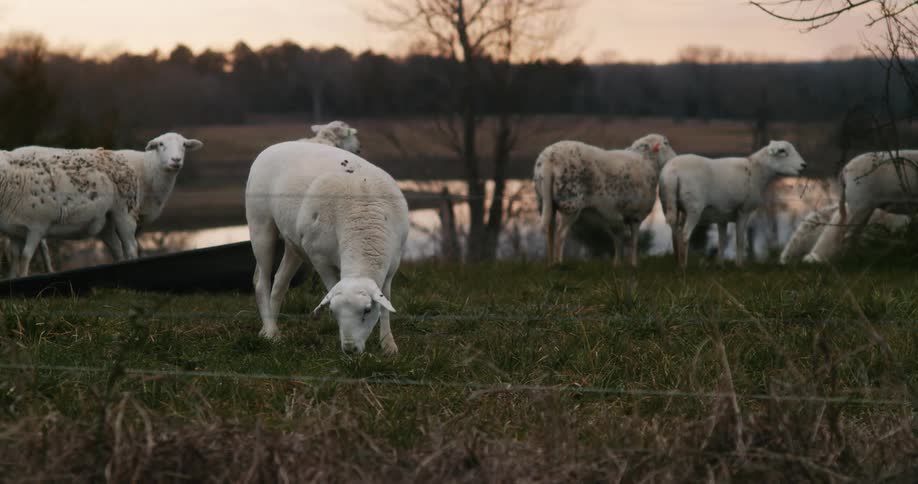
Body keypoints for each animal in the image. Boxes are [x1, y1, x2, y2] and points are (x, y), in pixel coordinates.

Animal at [0, 133, 203, 277]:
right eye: (161, 145)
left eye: (184, 145)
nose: (176, 160)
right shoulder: (24, 229)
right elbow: (18, 258)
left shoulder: (34, 227)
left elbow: (23, 257)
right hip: (114, 218)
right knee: (122, 248)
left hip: (119, 214)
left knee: (127, 248)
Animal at [245, 141, 408, 355]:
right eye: (333, 312)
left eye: (367, 310)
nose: (349, 349)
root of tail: (272, 147)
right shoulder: (319, 257)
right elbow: (332, 287)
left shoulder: (391, 266)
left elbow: (386, 302)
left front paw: (388, 345)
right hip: (260, 223)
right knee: (261, 281)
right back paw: (271, 332)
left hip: (293, 243)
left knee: (280, 282)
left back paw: (269, 331)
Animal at [534, 133, 677, 266]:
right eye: (666, 143)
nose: (675, 157)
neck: (647, 162)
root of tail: (549, 160)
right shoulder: (635, 215)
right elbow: (633, 241)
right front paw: (634, 264)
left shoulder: (612, 216)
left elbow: (618, 240)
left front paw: (617, 265)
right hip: (570, 204)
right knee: (560, 235)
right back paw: (559, 264)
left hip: (549, 203)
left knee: (550, 233)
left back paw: (550, 264)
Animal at [659, 140, 807, 268]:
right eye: (782, 151)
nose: (803, 165)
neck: (756, 171)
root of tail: (673, 173)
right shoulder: (743, 210)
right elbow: (740, 240)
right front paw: (740, 265)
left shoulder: (721, 215)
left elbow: (722, 240)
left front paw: (720, 265)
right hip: (694, 207)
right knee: (684, 235)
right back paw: (683, 267)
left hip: (668, 204)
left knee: (675, 234)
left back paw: (678, 263)